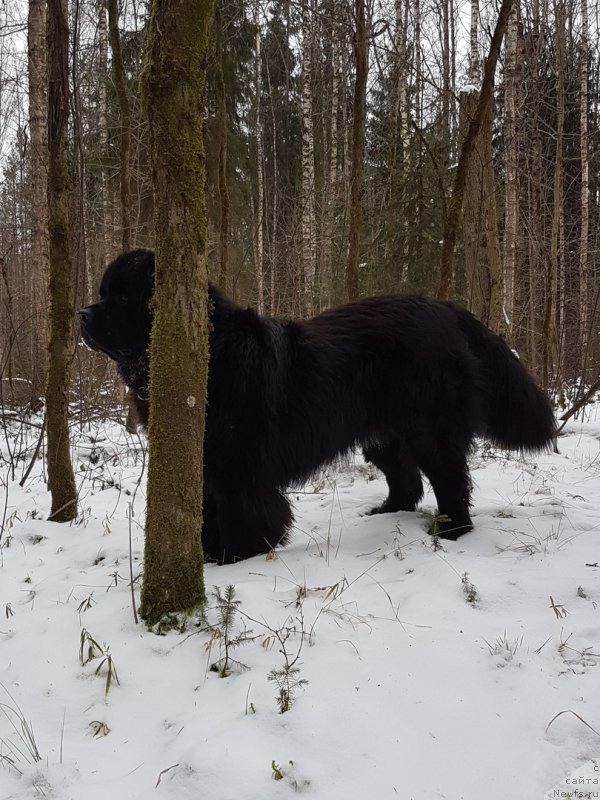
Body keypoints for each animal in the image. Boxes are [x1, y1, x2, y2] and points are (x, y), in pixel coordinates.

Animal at [81, 250, 556, 564]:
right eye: (102, 292)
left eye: (122, 299)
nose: (82, 315)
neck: (214, 353)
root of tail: (447, 308)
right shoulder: (206, 463)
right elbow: (208, 510)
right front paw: (208, 553)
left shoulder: (238, 467)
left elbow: (239, 513)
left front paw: (235, 557)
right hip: (383, 434)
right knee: (406, 480)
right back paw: (386, 514)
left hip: (429, 428)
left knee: (450, 478)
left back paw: (453, 530)